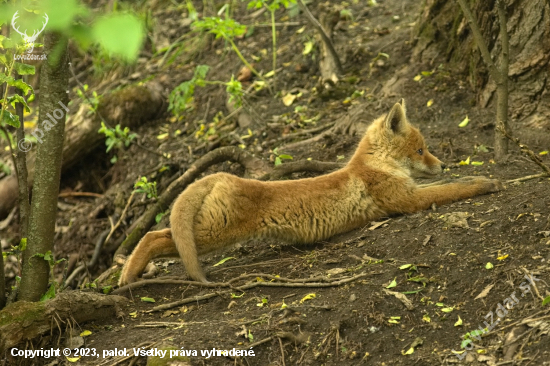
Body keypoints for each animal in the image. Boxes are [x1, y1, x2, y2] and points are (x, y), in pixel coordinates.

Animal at [119, 100, 504, 286]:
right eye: (421, 150)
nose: (444, 164)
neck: (373, 168)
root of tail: (221, 175)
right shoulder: (406, 200)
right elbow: (453, 190)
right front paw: (487, 183)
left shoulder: (410, 191)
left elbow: (447, 186)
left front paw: (479, 175)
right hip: (214, 234)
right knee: (153, 235)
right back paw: (127, 276)